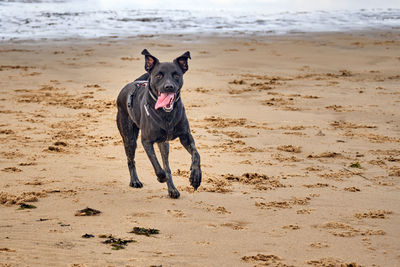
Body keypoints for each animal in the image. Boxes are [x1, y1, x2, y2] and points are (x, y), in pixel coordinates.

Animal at [116, 49, 202, 199]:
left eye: (176, 75)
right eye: (158, 75)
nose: (169, 87)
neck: (166, 114)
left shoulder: (185, 136)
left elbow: (196, 155)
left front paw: (196, 177)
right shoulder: (146, 141)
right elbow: (155, 162)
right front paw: (161, 177)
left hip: (164, 144)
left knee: (166, 164)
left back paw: (172, 189)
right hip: (129, 138)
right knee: (131, 159)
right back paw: (135, 181)